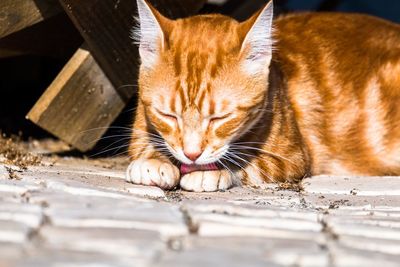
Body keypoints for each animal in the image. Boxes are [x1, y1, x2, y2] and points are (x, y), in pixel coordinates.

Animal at [126, 0, 400, 193]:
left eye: (220, 118)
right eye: (168, 115)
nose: (192, 155)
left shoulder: (293, 157)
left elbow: (250, 165)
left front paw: (211, 172)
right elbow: (144, 145)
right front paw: (152, 161)